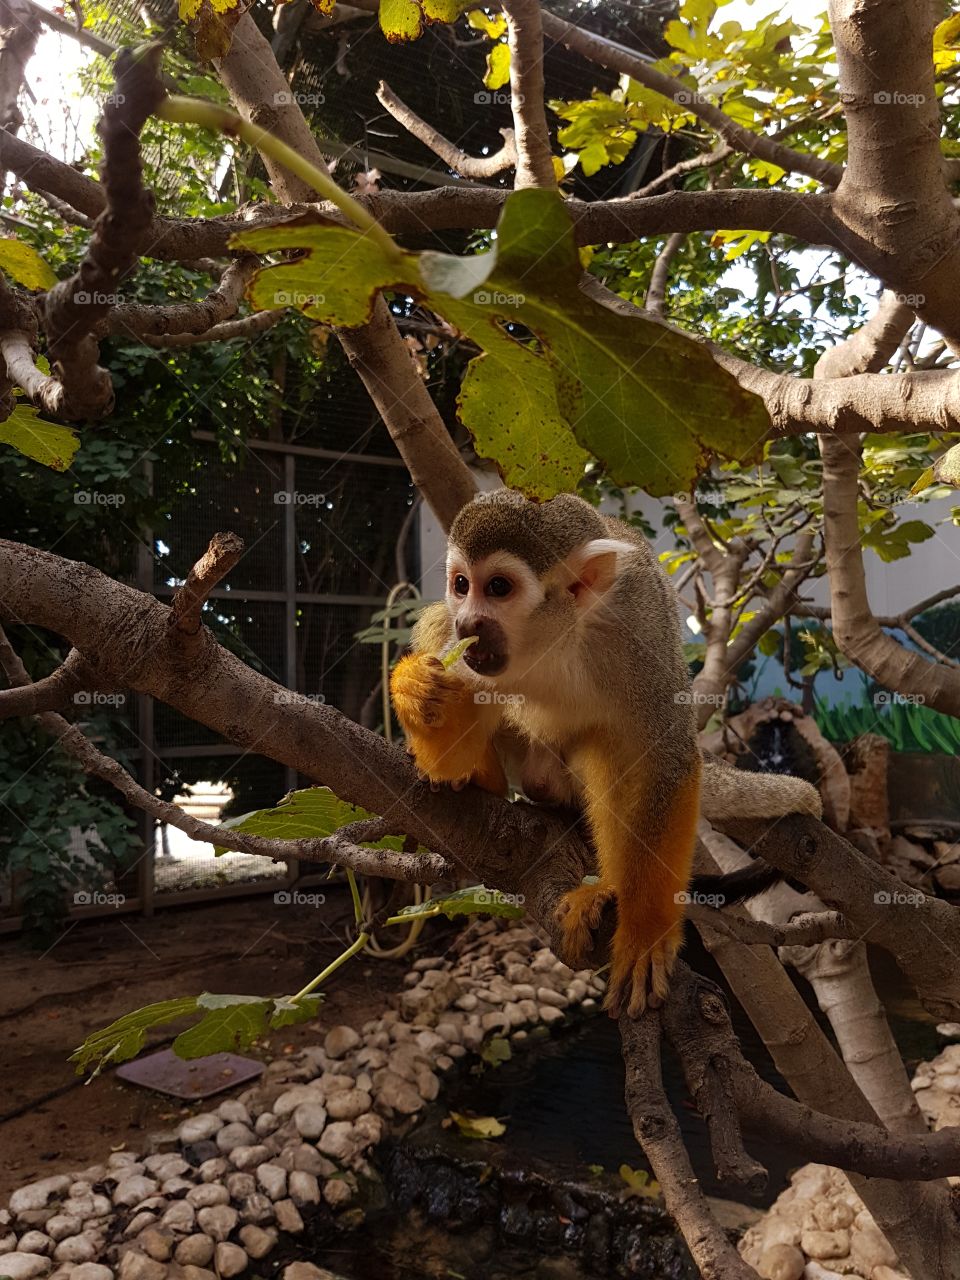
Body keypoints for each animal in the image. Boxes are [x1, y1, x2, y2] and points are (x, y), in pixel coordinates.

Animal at [390, 489, 821, 1017]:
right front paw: (420, 691)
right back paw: (479, 779)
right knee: (437, 621)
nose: (469, 619)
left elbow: (664, 761)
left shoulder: (636, 631)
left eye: (498, 587)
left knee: (609, 748)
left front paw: (644, 933)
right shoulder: (468, 656)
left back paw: (609, 887)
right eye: (460, 584)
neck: (553, 638)